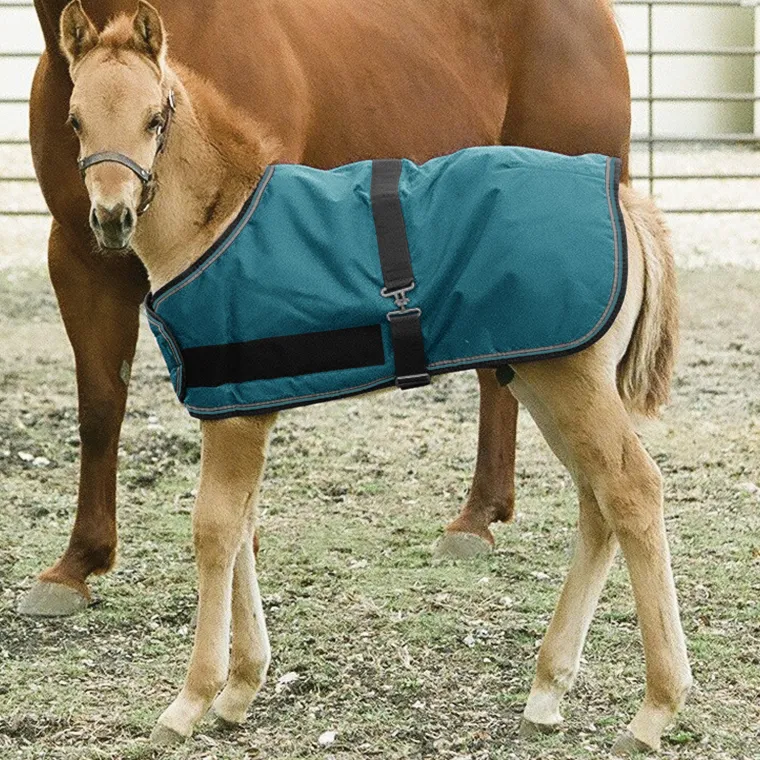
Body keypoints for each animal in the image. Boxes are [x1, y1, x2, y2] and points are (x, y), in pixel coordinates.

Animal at [60, 3, 689, 755]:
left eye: (155, 118)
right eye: (74, 119)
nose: (112, 218)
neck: (217, 222)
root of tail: (626, 202)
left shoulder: (235, 417)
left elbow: (214, 531)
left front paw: (190, 701)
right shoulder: (243, 409)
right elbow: (243, 529)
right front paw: (241, 689)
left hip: (574, 383)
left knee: (633, 491)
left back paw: (655, 710)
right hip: (542, 380)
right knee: (598, 501)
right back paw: (547, 691)